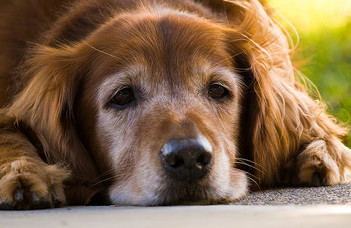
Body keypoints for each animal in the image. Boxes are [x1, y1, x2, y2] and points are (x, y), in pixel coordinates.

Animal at [0, 0, 350, 209]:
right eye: (122, 96)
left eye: (218, 90)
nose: (189, 157)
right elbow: (8, 132)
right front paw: (24, 172)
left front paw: (319, 152)